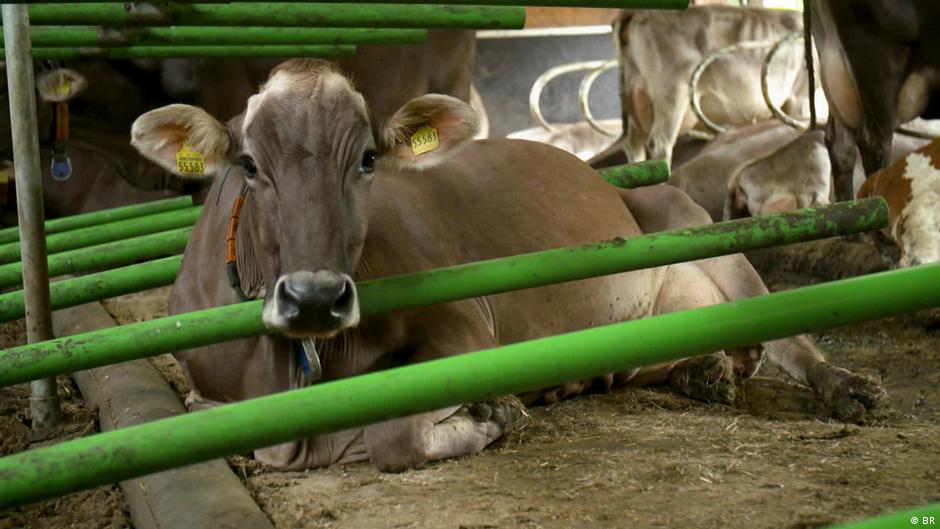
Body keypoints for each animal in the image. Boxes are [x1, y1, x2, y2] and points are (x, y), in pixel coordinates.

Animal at [130, 59, 885, 473]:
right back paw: (704, 372)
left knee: (789, 334)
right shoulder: (209, 392)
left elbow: (392, 433)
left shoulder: (464, 329)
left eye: (368, 158)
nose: (314, 296)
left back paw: (848, 387)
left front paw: (495, 413)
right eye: (249, 164)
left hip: (691, 220)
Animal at [616, 5, 818, 166]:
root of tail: (638, 12)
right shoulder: (799, 97)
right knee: (659, 142)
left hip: (633, 94)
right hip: (672, 93)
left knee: (633, 144)